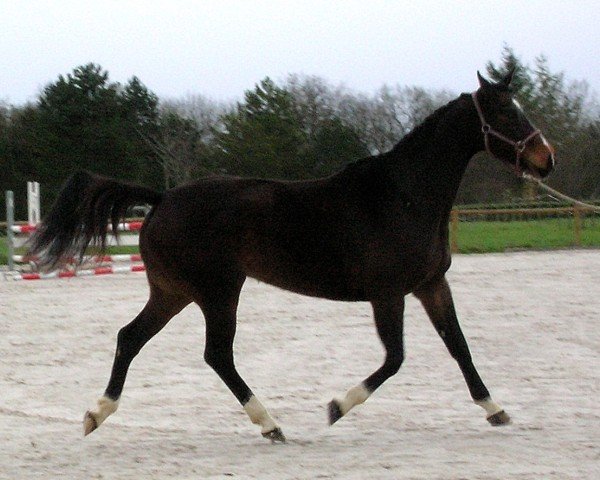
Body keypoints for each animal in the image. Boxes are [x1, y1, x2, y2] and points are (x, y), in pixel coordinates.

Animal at [28, 69, 552, 440]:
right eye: (506, 114)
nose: (547, 159)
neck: (404, 196)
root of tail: (162, 198)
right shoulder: (388, 294)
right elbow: (395, 359)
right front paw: (336, 408)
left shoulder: (430, 285)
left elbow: (458, 346)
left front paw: (496, 410)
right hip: (218, 291)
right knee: (216, 354)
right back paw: (270, 423)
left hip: (175, 292)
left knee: (131, 338)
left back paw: (97, 414)